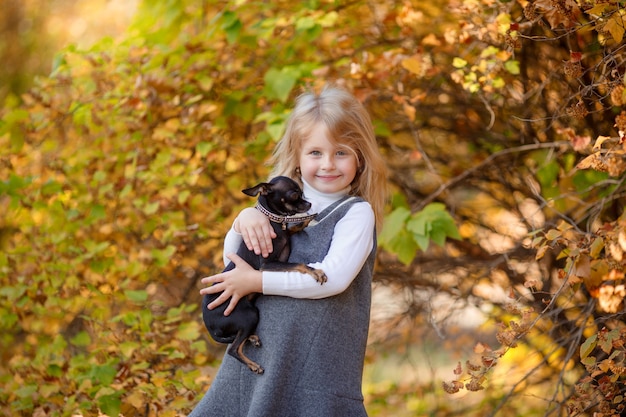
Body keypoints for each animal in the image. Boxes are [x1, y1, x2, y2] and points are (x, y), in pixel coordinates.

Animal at [202, 176, 326, 374]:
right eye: (295, 195)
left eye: (303, 193)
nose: (309, 204)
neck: (273, 221)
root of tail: (209, 326)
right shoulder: (267, 264)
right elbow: (298, 263)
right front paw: (316, 272)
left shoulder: (284, 234)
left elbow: (291, 229)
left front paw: (306, 221)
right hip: (249, 315)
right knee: (233, 349)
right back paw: (253, 365)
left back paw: (252, 338)